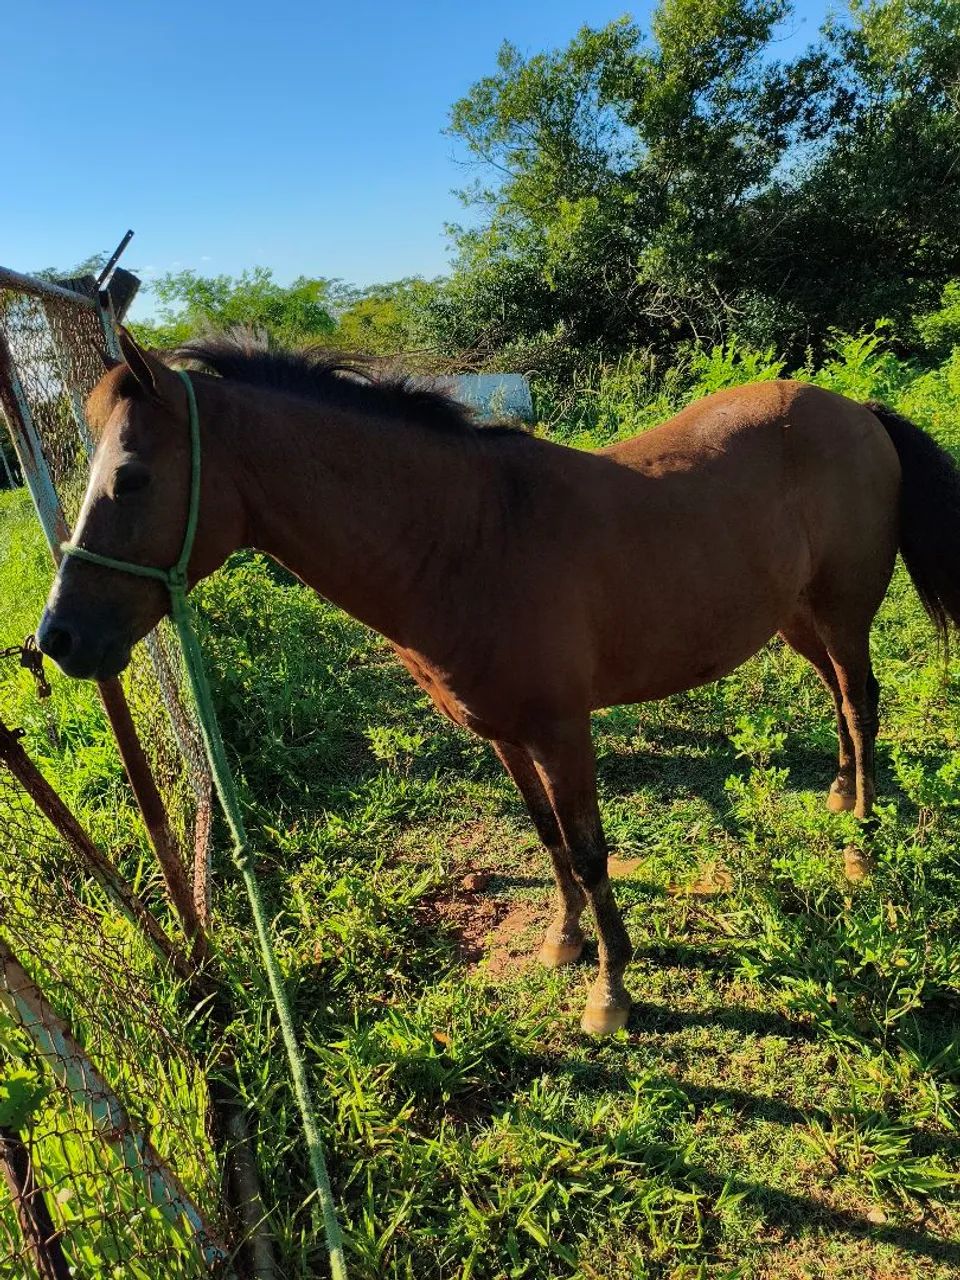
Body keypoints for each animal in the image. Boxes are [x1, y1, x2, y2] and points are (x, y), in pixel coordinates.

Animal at [36, 329, 960, 1035]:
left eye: (132, 477)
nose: (58, 639)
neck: (469, 538)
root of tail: (855, 410)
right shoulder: (504, 735)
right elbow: (547, 838)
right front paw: (563, 942)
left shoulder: (563, 731)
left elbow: (589, 851)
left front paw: (610, 993)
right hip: (797, 619)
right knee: (839, 700)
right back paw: (841, 794)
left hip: (841, 613)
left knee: (860, 702)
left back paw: (862, 844)